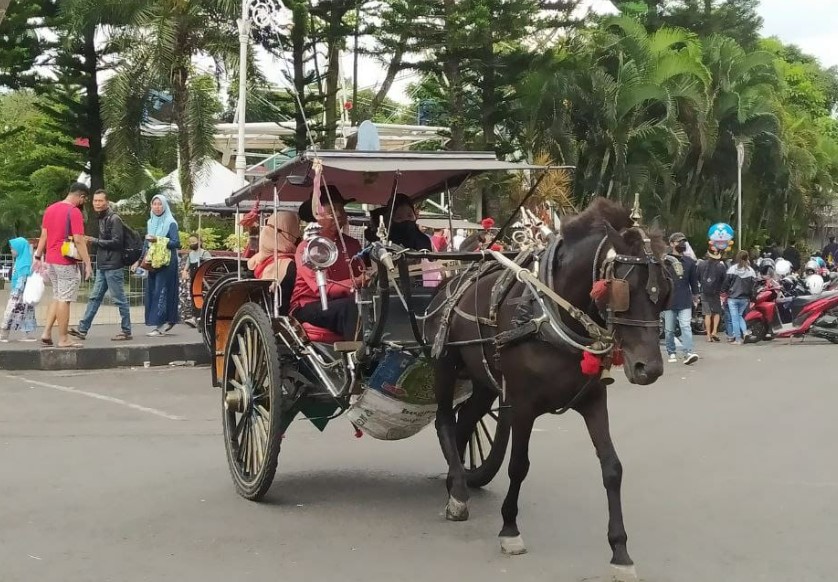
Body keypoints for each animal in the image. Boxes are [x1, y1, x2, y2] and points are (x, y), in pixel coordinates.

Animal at [424, 198, 672, 580]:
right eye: (623, 290)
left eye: (665, 291)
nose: (651, 369)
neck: (554, 316)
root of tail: (452, 280)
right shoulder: (522, 404)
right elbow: (518, 466)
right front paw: (510, 530)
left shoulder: (593, 399)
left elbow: (612, 468)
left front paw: (620, 552)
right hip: (445, 364)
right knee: (445, 422)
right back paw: (458, 498)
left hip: (483, 380)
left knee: (466, 422)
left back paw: (458, 484)